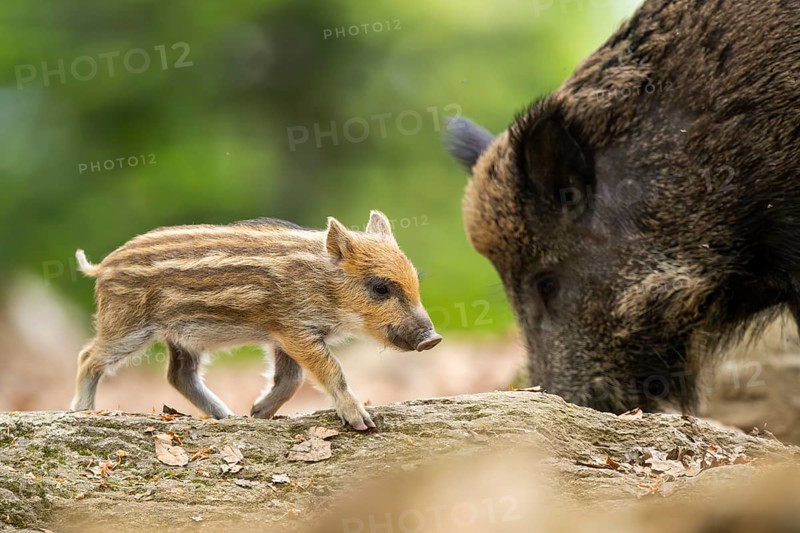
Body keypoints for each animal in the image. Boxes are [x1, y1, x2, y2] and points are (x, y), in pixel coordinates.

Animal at [70, 211, 442, 430]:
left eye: (415, 281)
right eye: (380, 287)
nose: (432, 339)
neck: (323, 284)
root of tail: (102, 267)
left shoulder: (282, 336)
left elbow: (290, 379)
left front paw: (257, 413)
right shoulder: (295, 330)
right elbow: (330, 371)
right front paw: (362, 421)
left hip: (182, 338)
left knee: (179, 375)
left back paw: (227, 416)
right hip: (126, 324)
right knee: (88, 357)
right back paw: (81, 411)